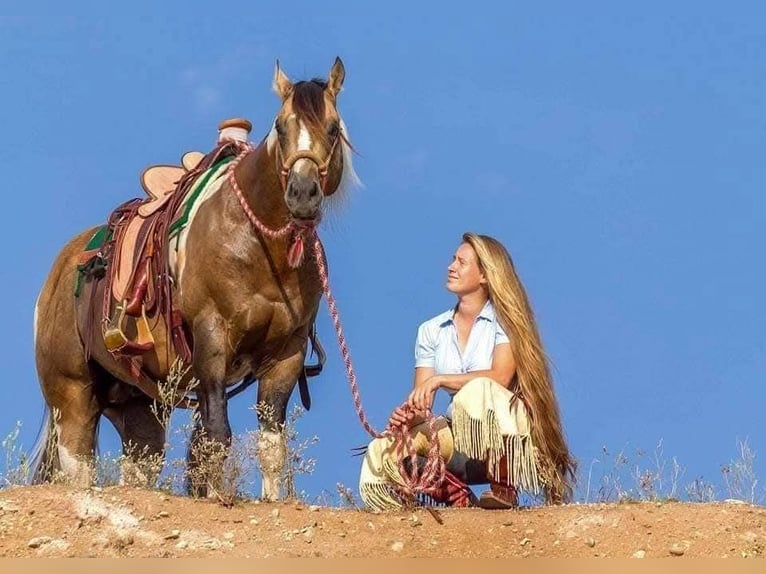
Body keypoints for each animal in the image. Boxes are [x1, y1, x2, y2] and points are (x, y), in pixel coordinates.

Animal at [31, 56, 362, 502]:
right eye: (280, 126)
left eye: (333, 128)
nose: (303, 193)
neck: (257, 245)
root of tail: (59, 273)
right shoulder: (212, 337)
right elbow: (217, 435)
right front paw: (219, 497)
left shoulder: (286, 353)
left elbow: (271, 443)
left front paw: (273, 499)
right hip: (72, 393)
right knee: (77, 467)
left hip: (137, 406)